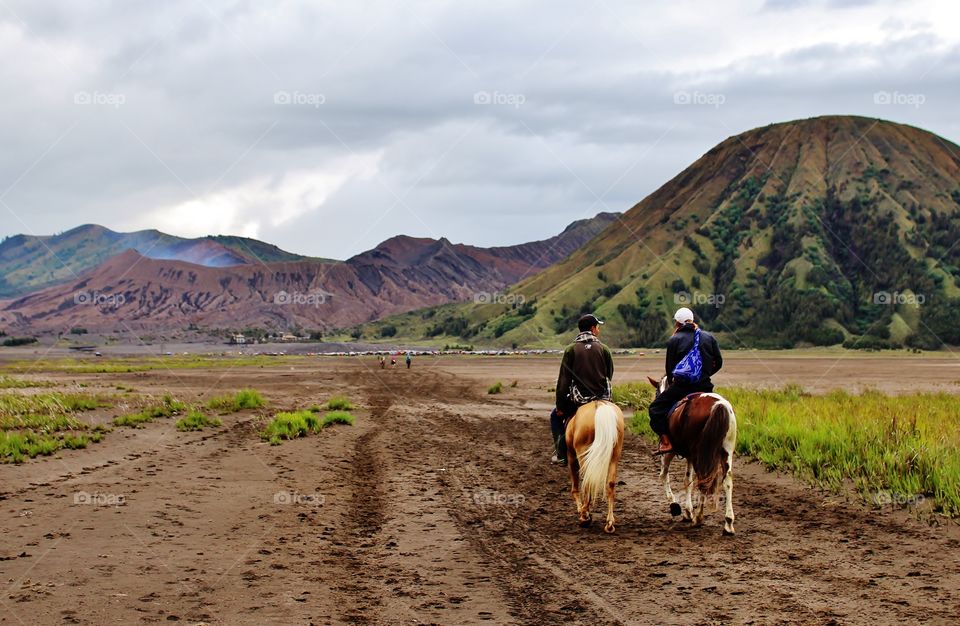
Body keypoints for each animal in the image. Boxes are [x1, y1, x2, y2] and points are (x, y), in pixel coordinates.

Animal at [568, 400, 628, 532]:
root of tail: (599, 404)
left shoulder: (571, 456)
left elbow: (575, 486)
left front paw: (582, 511)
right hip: (614, 455)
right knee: (610, 484)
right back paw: (609, 523)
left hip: (583, 454)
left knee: (588, 482)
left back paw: (584, 516)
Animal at [648, 372, 740, 532]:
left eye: (657, 392)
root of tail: (718, 405)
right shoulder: (690, 455)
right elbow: (688, 481)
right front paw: (687, 511)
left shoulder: (669, 452)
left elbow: (664, 475)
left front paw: (676, 506)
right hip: (726, 451)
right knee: (727, 481)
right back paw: (728, 523)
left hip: (699, 454)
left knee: (703, 480)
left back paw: (698, 518)